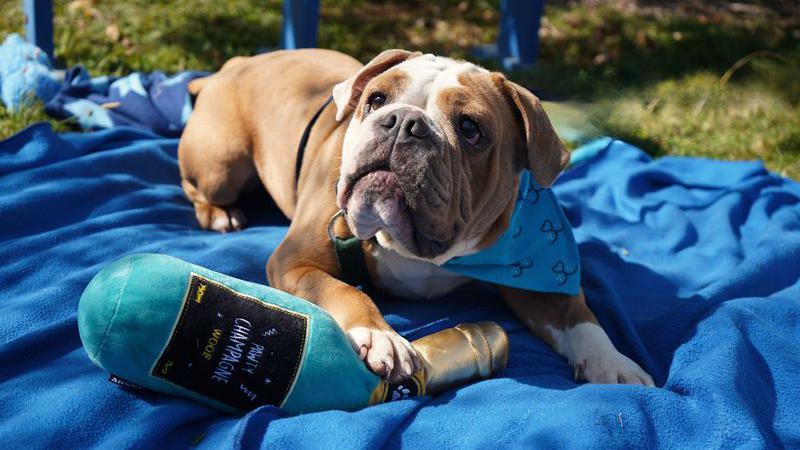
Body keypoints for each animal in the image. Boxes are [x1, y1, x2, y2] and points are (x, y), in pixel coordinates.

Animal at [178, 49, 652, 386]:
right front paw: (382, 337)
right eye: (375, 100)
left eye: (470, 128)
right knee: (198, 184)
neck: (420, 251)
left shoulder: (542, 285)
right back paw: (220, 215)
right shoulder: (296, 262)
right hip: (221, 164)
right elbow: (346, 291)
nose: (404, 120)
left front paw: (613, 363)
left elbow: (582, 319)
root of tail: (239, 63)